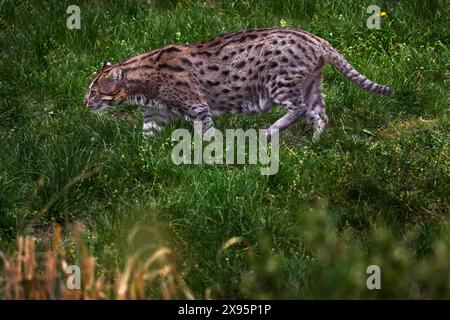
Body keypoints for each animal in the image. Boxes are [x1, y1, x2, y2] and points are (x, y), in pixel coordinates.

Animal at [83, 28, 390, 140]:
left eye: (94, 91)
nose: (84, 102)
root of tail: (315, 38)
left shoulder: (196, 106)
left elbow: (206, 133)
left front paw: (208, 153)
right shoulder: (154, 115)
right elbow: (146, 136)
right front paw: (141, 156)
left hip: (280, 84)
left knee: (300, 108)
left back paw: (272, 130)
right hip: (311, 84)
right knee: (320, 114)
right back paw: (315, 143)